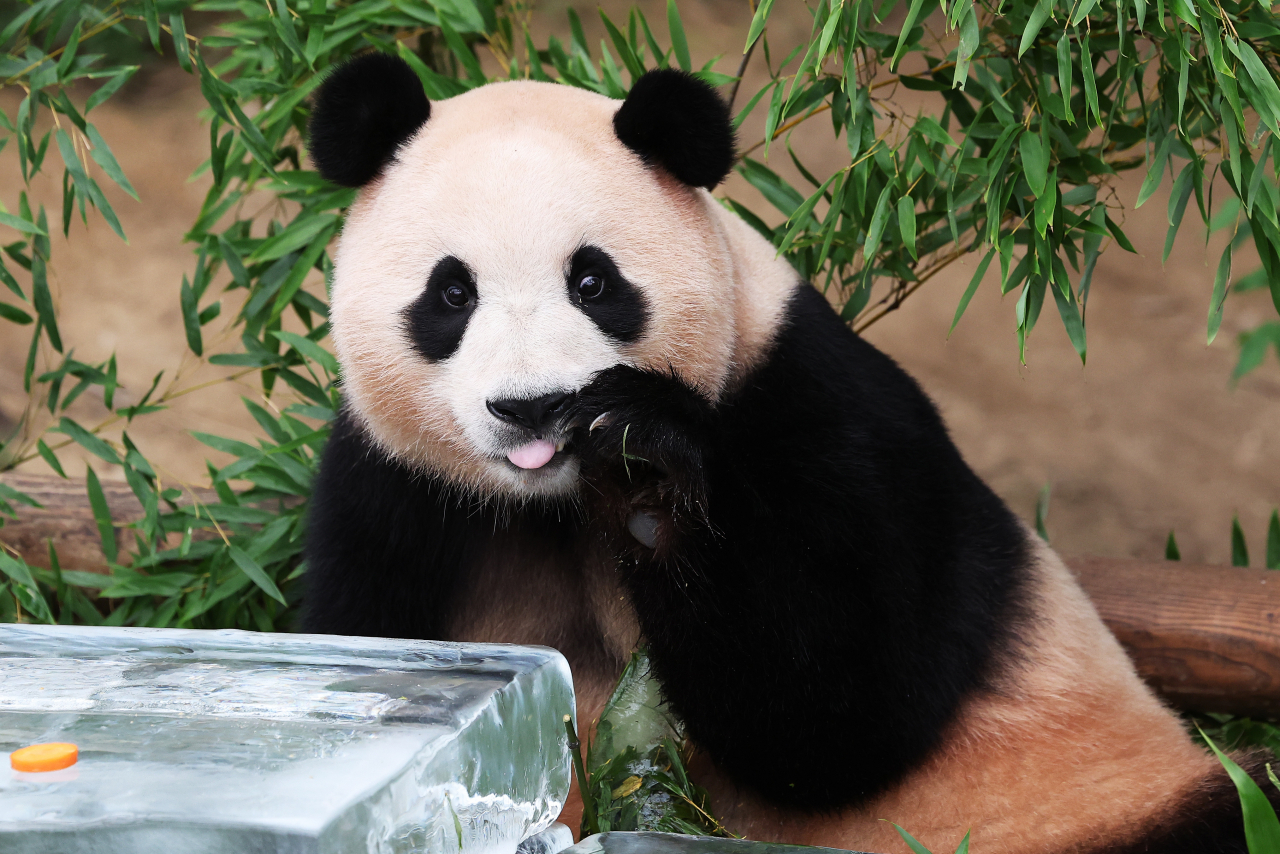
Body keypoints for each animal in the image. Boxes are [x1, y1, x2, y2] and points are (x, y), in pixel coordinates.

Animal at [302, 51, 1280, 854]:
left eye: (593, 280)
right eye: (451, 294)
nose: (534, 407)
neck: (558, 507)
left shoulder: (808, 407)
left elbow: (842, 714)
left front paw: (648, 472)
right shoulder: (392, 490)